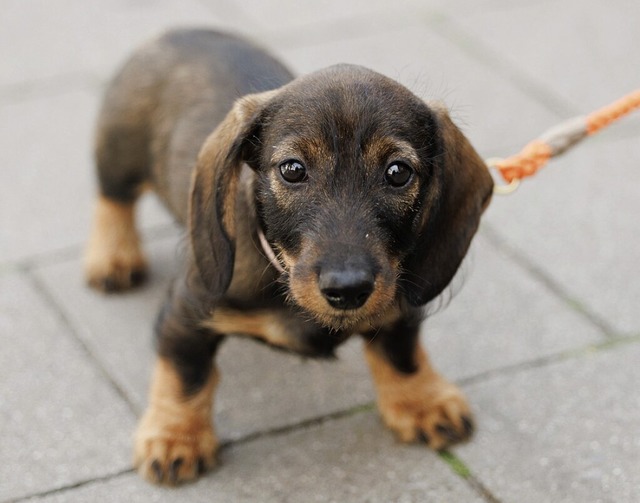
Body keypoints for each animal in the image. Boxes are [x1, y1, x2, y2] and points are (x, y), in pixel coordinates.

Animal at [85, 27, 492, 484]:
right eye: (293, 169)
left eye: (398, 172)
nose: (348, 289)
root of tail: (181, 31)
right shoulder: (186, 311)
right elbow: (186, 375)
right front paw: (176, 437)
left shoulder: (398, 299)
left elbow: (401, 352)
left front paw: (422, 400)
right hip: (118, 152)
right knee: (113, 199)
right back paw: (113, 255)